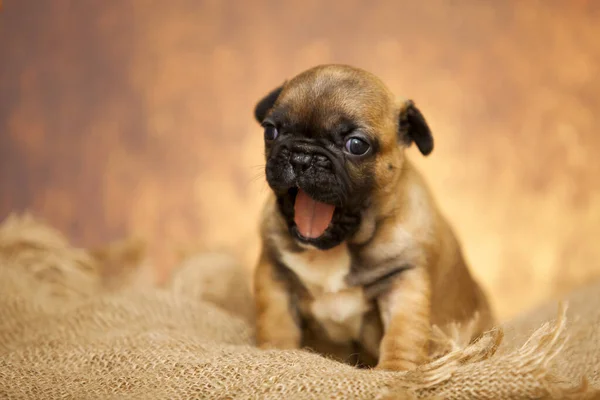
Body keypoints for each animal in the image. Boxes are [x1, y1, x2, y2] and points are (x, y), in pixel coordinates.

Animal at [251, 64, 494, 370]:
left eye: (356, 145)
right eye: (271, 131)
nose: (301, 157)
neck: (336, 248)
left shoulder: (404, 282)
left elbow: (402, 333)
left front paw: (394, 370)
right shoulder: (275, 275)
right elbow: (277, 323)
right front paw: (276, 354)